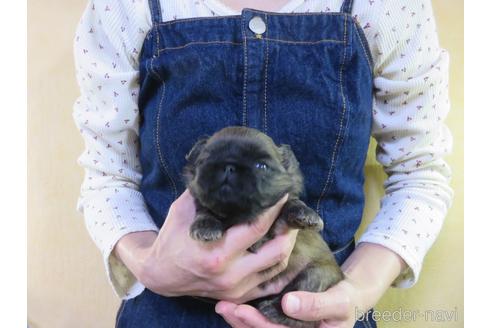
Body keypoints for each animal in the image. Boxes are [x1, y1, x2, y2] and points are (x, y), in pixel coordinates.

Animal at [184, 126, 342, 328]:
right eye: (205, 160)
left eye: (262, 166)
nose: (229, 166)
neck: (239, 214)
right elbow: (205, 209)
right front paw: (205, 225)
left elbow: (290, 203)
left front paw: (306, 214)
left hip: (316, 274)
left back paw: (274, 310)